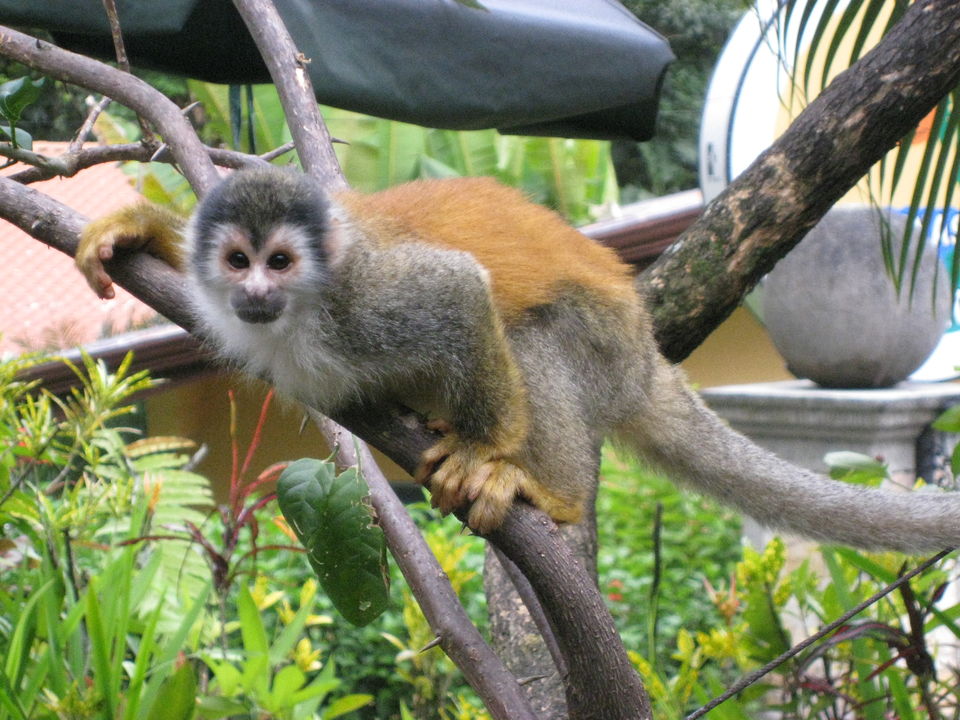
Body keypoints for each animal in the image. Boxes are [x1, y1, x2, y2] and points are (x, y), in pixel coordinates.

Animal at [76, 166, 959, 553]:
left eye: (281, 263)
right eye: (236, 261)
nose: (255, 290)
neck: (293, 319)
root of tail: (648, 356)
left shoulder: (361, 301)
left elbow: (462, 292)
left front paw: (486, 454)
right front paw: (142, 226)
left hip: (606, 347)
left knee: (530, 336)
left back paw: (554, 492)